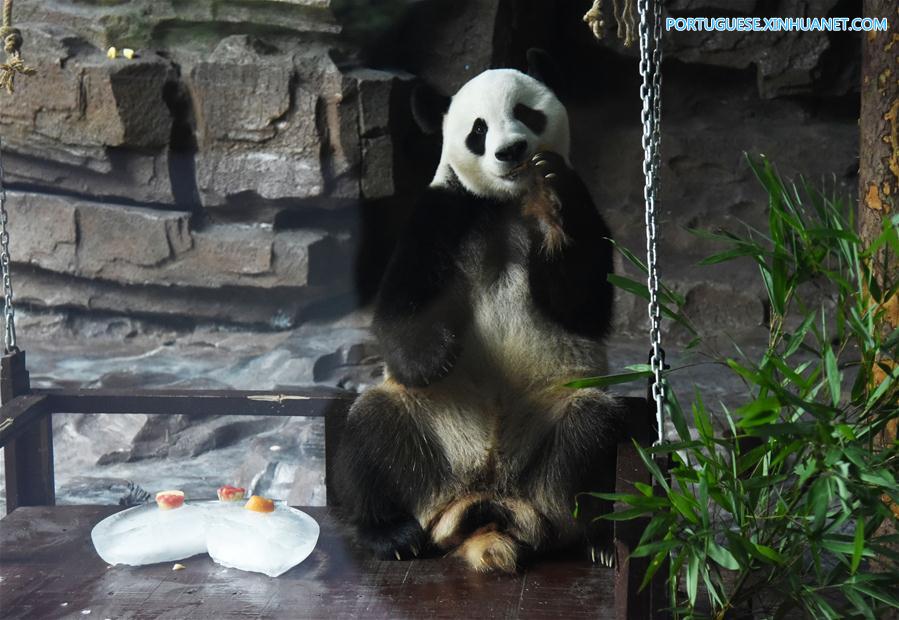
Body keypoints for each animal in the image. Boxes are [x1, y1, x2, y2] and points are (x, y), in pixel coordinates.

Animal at [334, 49, 624, 573]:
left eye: (527, 112)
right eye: (479, 129)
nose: (511, 151)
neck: (504, 204)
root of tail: (487, 501)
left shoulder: (584, 206)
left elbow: (585, 304)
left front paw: (553, 206)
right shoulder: (443, 211)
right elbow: (398, 308)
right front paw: (439, 354)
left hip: (551, 430)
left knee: (593, 438)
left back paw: (599, 538)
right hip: (427, 435)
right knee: (371, 434)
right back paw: (392, 534)